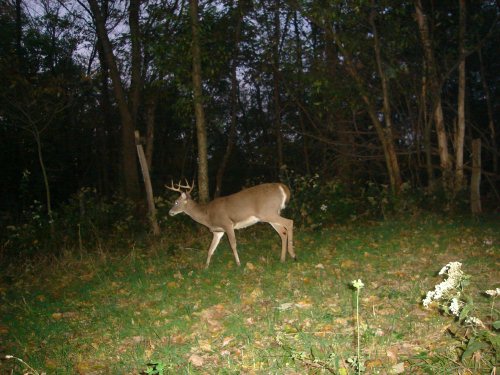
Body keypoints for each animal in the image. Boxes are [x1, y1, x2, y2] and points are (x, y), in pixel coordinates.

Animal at [166, 181, 294, 268]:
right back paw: (283, 259)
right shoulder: (218, 231)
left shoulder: (227, 224)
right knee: (283, 232)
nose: (170, 212)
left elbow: (233, 244)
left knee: (289, 222)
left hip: (268, 212)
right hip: (270, 215)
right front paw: (206, 267)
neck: (207, 215)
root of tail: (283, 188)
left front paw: (238, 263)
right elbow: (210, 249)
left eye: (176, 202)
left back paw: (292, 255)